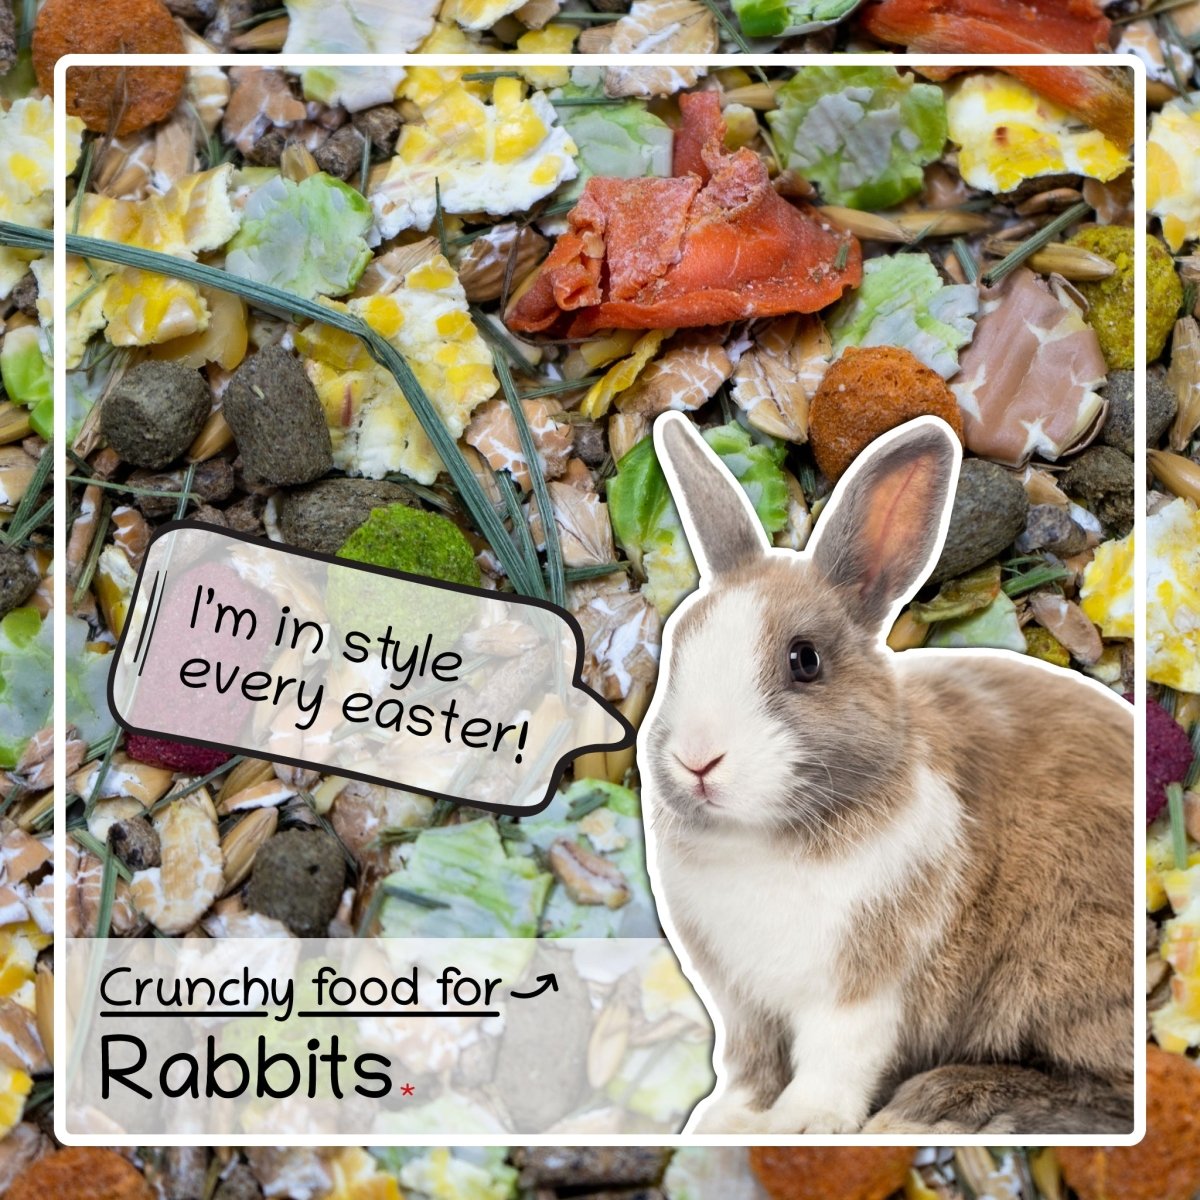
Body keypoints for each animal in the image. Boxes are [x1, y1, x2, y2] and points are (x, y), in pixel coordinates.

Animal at [639, 412, 1134, 1136]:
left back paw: (936, 1104)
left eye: (805, 660)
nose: (697, 759)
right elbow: (753, 1065)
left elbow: (836, 1058)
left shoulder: (863, 991)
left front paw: (802, 1125)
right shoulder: (744, 1004)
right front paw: (726, 1121)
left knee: (1102, 1089)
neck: (765, 838)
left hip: (1064, 971)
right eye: (680, 647)